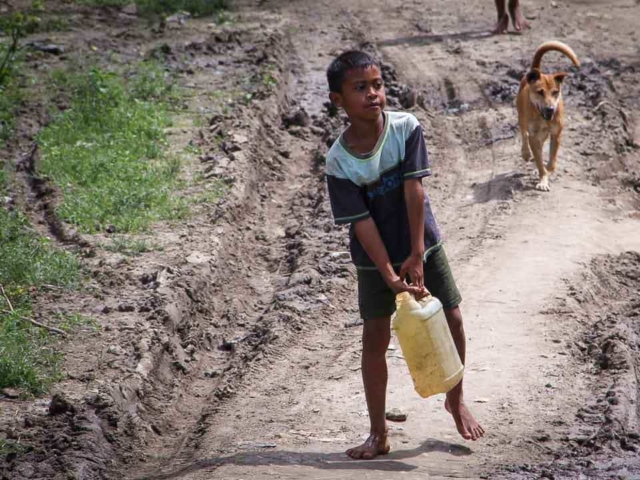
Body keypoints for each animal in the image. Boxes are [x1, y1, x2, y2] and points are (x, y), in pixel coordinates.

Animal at [516, 40, 584, 191]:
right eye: (540, 92)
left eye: (555, 92)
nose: (550, 109)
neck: (543, 119)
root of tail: (536, 71)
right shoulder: (534, 136)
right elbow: (538, 159)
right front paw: (543, 179)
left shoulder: (556, 134)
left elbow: (551, 161)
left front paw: (546, 171)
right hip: (521, 116)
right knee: (524, 134)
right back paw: (526, 153)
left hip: (544, 134)